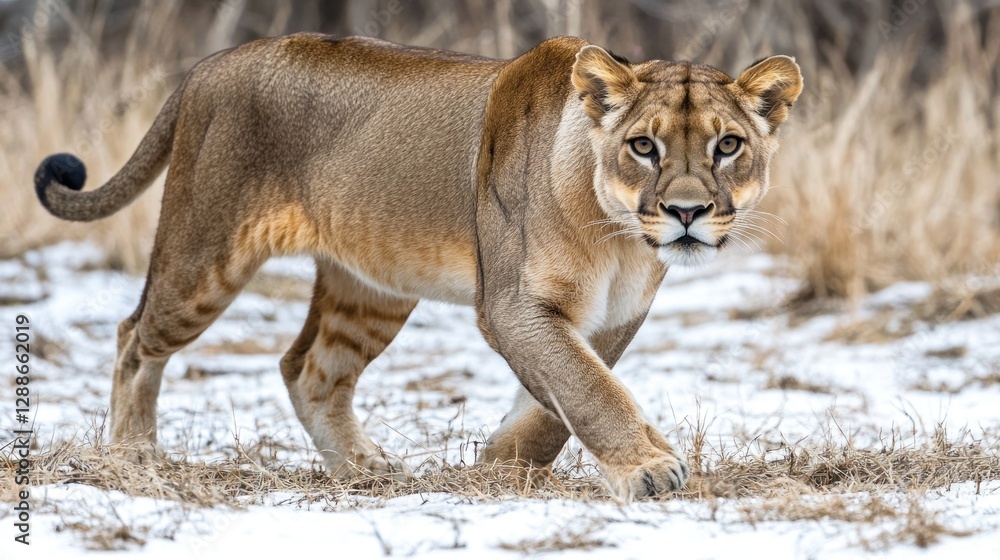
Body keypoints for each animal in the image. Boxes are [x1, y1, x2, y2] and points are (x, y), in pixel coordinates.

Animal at [33, 33, 801, 501]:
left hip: (371, 289)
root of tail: (210, 63)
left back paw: (364, 471)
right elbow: (588, 390)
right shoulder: (511, 307)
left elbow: (557, 404)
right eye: (644, 146)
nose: (687, 212)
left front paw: (502, 470)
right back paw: (133, 457)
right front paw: (647, 470)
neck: (616, 236)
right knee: (135, 335)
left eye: (728, 145)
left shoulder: (614, 316)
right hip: (206, 251)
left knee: (309, 368)